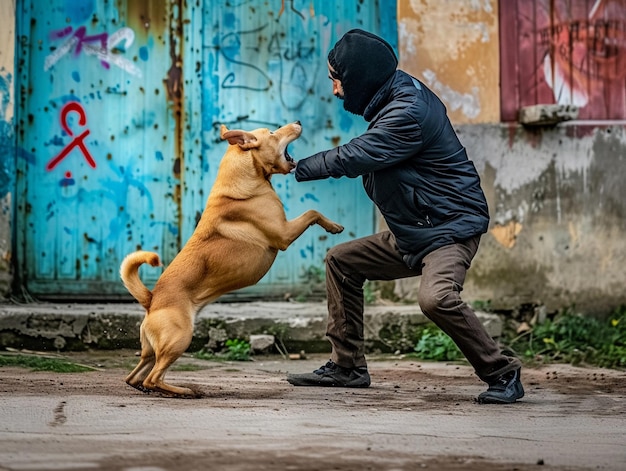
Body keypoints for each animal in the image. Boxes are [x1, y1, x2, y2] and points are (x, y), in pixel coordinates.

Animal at [119, 121, 344, 398]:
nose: (298, 122)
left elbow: (313, 212)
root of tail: (151, 300)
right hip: (179, 338)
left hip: (153, 349)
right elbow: (312, 212)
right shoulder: (284, 233)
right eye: (272, 133)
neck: (246, 177)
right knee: (153, 377)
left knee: (135, 376)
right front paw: (333, 226)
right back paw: (185, 391)